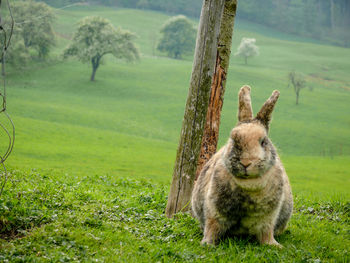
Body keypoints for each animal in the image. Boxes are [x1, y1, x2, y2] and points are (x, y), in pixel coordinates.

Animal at [191, 85, 292, 248]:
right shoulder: (215, 212)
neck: (249, 184)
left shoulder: (268, 219)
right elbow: (212, 228)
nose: (246, 162)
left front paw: (275, 245)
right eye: (233, 139)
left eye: (263, 141)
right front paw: (207, 244)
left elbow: (266, 233)